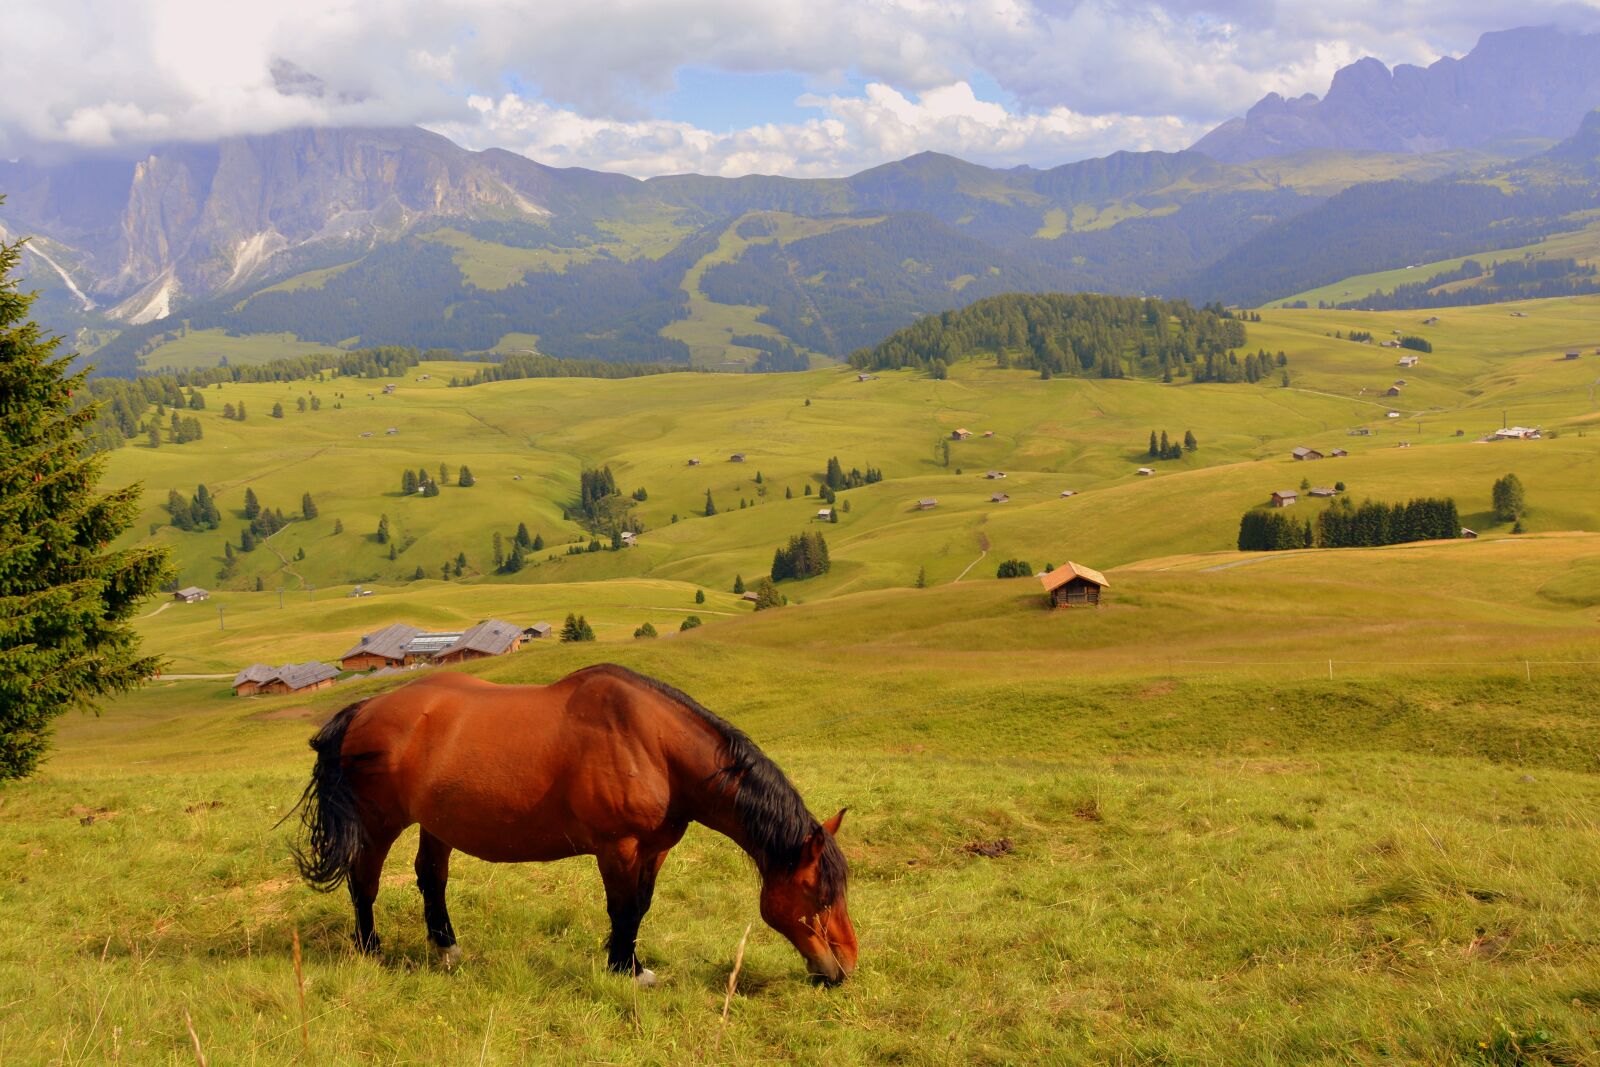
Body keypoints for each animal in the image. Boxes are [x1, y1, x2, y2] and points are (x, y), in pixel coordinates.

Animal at [287, 664, 858, 985]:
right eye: (817, 894)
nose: (845, 968)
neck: (653, 745)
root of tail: (366, 708)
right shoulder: (618, 846)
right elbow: (622, 909)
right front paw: (624, 972)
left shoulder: (655, 849)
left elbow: (639, 908)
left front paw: (629, 962)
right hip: (378, 821)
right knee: (364, 881)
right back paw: (370, 950)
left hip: (437, 822)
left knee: (431, 878)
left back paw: (447, 951)